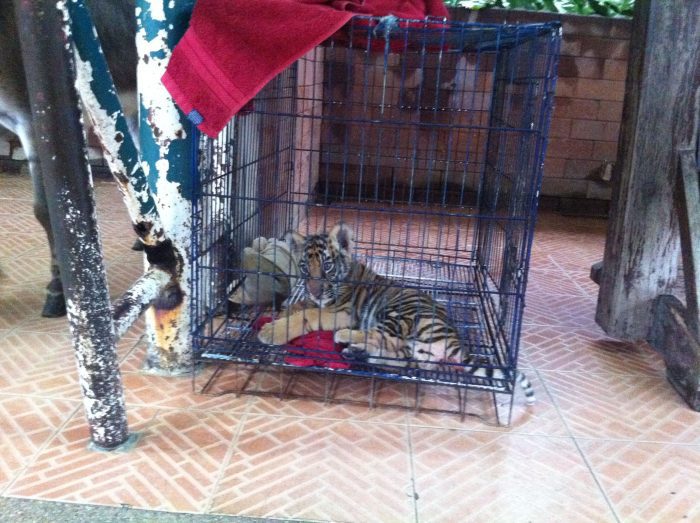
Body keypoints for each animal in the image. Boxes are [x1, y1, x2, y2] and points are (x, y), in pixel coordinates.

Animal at [257, 222, 534, 403]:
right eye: (305, 266)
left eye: (327, 266)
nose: (315, 289)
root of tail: (455, 338)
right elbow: (303, 306)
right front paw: (285, 311)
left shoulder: (343, 311)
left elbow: (308, 315)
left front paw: (272, 331)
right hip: (412, 348)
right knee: (395, 353)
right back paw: (358, 353)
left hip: (398, 313)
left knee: (380, 336)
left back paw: (346, 339)